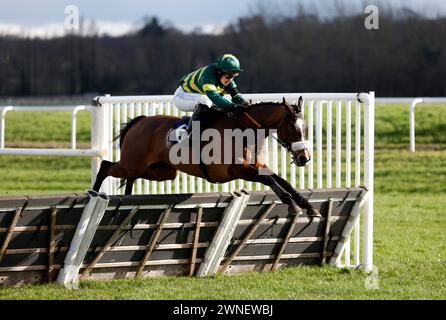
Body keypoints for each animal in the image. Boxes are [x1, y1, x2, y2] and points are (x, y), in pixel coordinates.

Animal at [92, 97, 320, 218]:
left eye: (306, 128)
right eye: (292, 128)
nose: (304, 158)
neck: (244, 129)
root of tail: (141, 121)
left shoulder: (256, 164)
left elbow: (282, 180)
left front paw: (309, 206)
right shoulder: (236, 169)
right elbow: (271, 180)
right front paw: (291, 204)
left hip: (161, 171)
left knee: (130, 176)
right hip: (133, 163)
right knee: (106, 166)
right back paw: (93, 193)